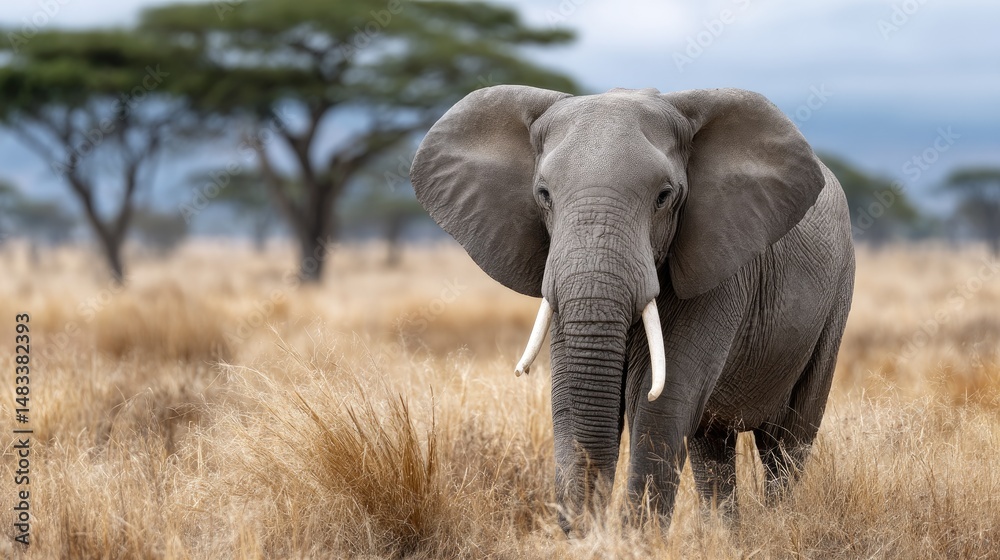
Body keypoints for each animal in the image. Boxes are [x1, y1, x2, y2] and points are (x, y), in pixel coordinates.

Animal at [410, 85, 855, 529]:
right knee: (712, 445)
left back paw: (776, 523)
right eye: (543, 195)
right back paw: (725, 534)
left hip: (837, 300)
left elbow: (661, 400)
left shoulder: (720, 268)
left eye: (663, 197)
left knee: (787, 442)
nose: (589, 528)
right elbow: (569, 393)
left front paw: (637, 537)